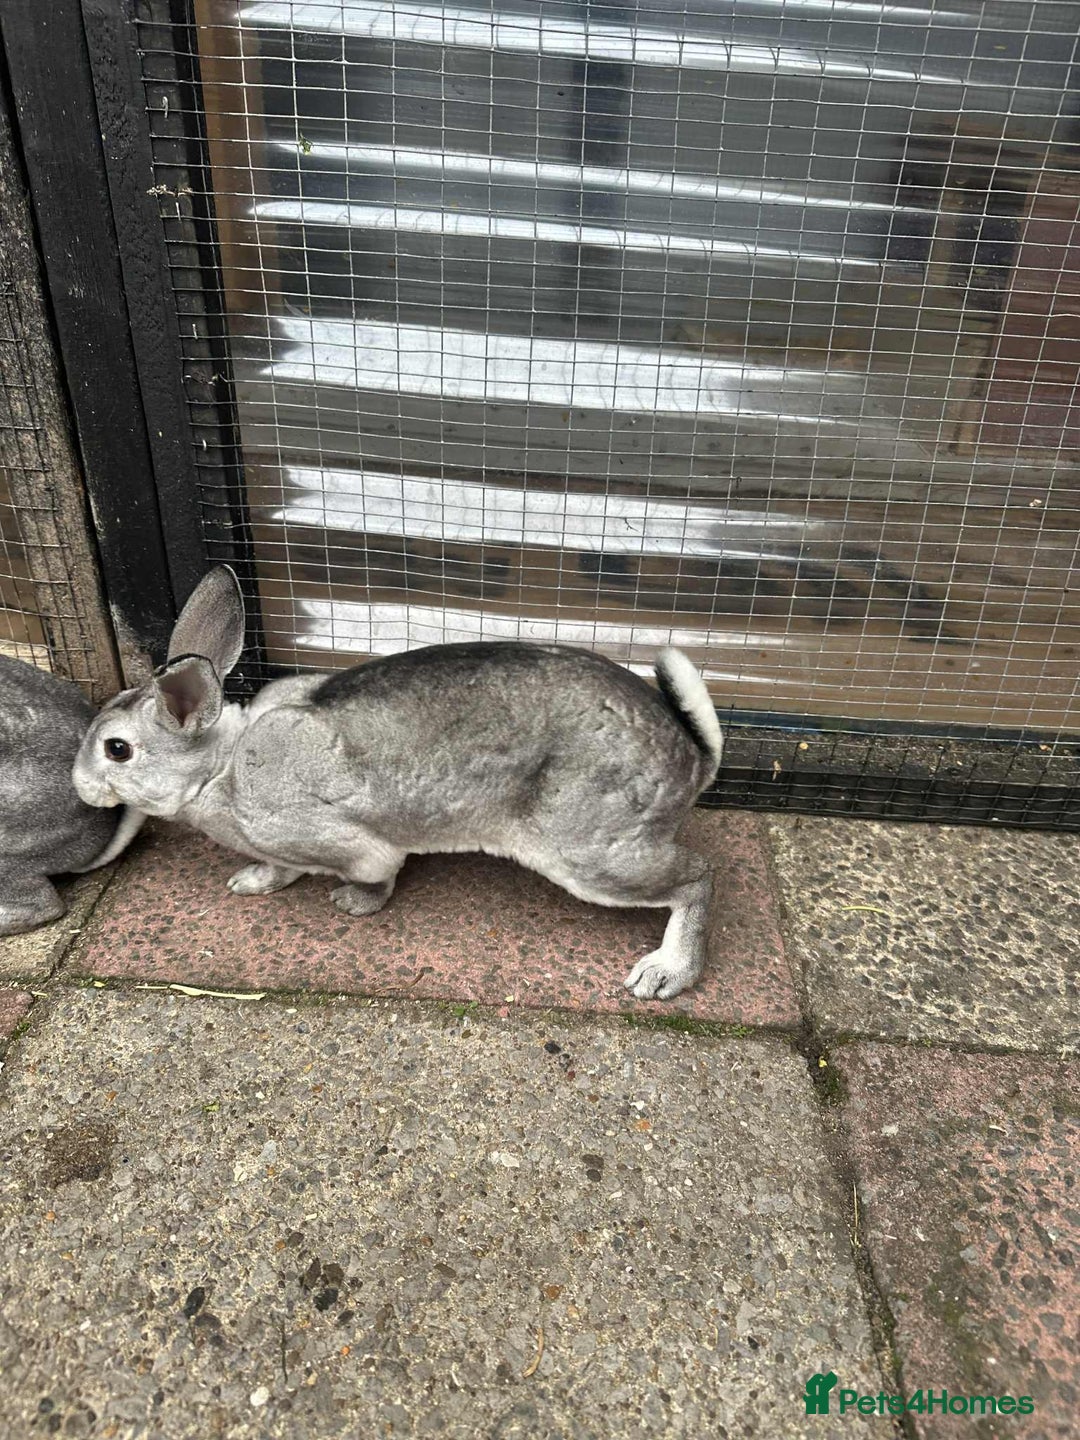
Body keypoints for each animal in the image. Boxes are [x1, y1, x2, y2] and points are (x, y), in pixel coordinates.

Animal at [72, 567, 724, 999]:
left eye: (117, 749)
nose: (78, 785)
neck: (222, 768)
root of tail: (695, 760)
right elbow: (279, 869)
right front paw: (251, 883)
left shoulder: (345, 842)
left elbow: (376, 873)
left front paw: (353, 904)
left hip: (588, 849)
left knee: (698, 877)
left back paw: (665, 973)